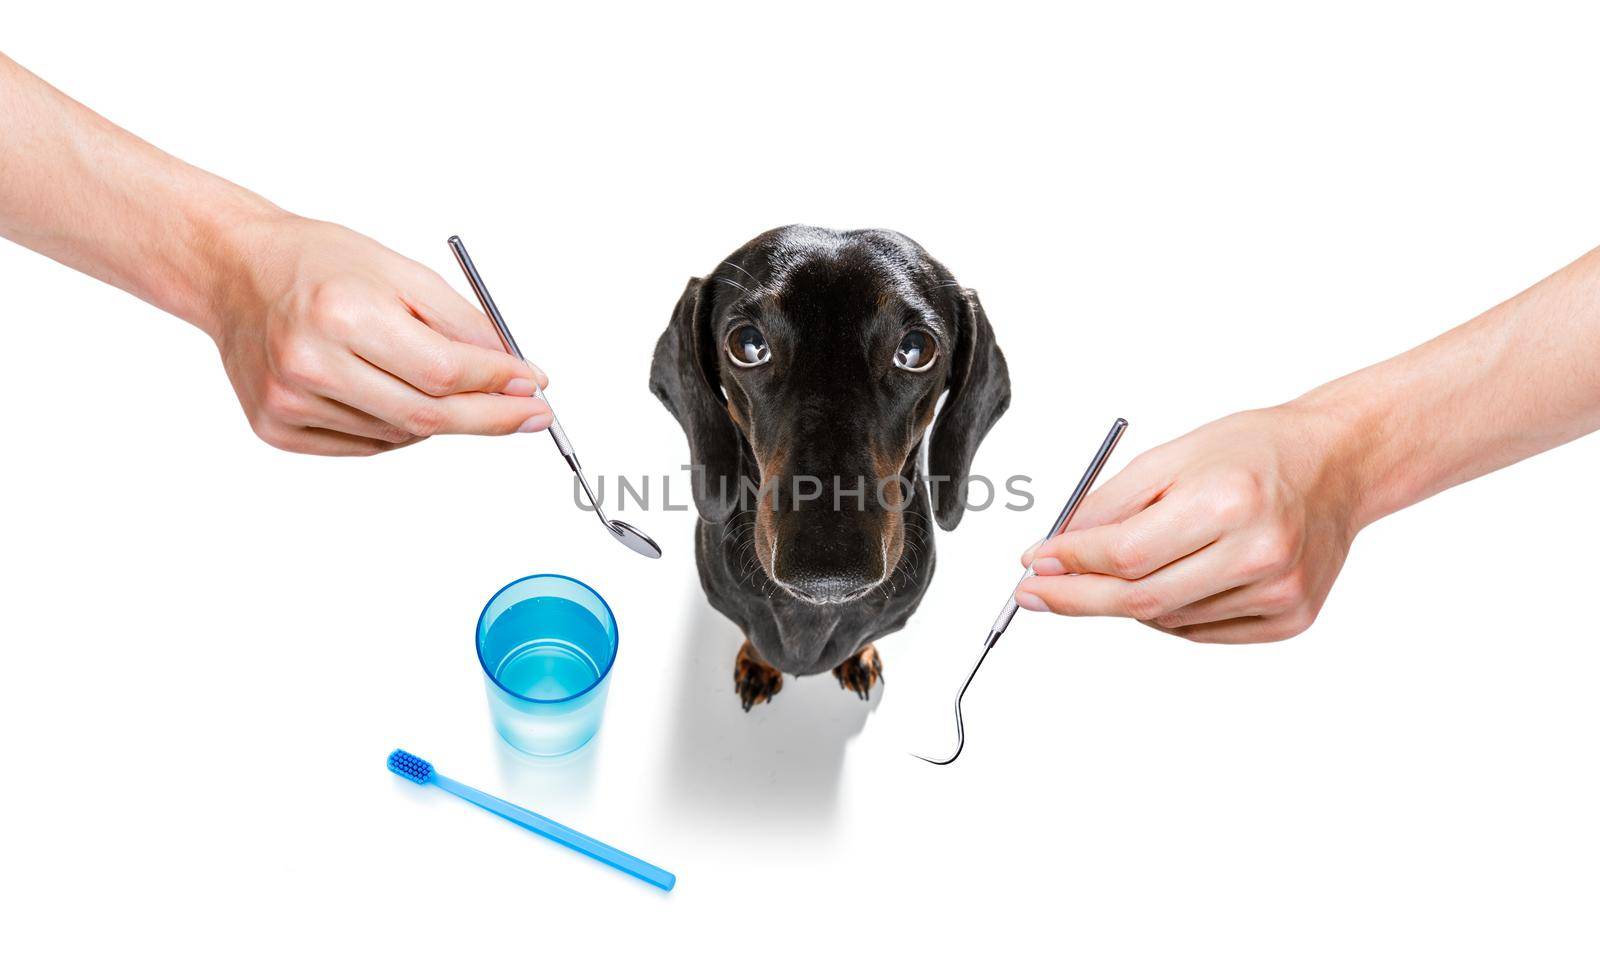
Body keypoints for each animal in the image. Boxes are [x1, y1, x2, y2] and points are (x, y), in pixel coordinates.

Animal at [649, 232, 1011, 710]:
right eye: (748, 344)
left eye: (916, 349)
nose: (828, 574)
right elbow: (756, 638)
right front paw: (759, 664)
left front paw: (859, 657)